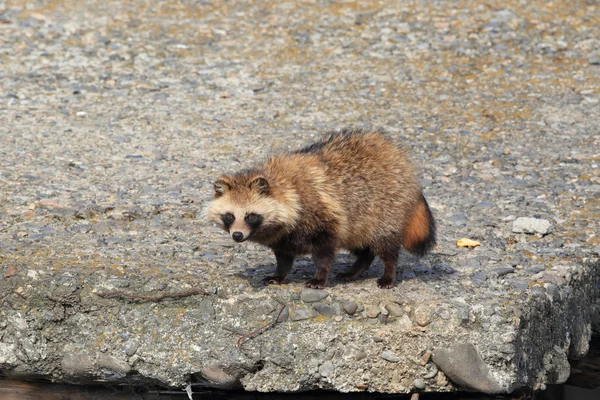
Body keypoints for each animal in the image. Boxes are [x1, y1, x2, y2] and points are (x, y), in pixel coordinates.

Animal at [206, 130, 436, 290]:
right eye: (229, 216)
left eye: (251, 216)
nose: (237, 235)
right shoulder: (283, 236)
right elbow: (283, 257)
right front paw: (280, 273)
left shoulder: (324, 217)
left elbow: (324, 254)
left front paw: (320, 276)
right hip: (359, 223)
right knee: (363, 247)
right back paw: (357, 268)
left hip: (385, 209)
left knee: (386, 246)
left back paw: (389, 272)